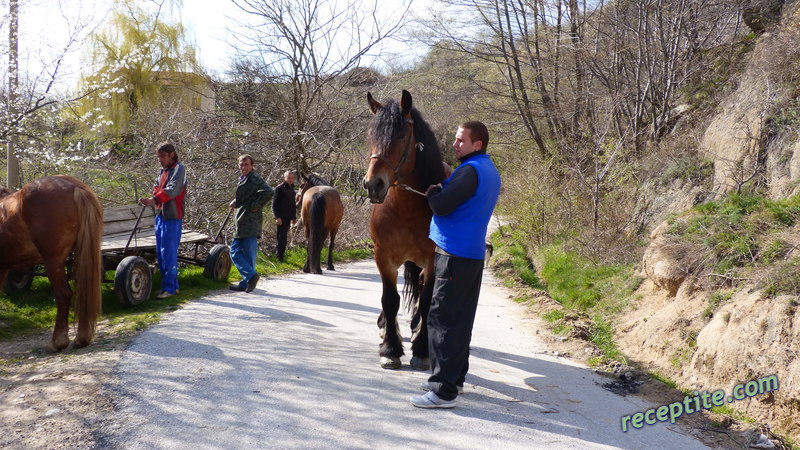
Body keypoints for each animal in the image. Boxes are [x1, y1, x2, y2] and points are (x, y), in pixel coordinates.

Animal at [364, 89, 446, 370]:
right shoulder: (383, 257)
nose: (373, 184)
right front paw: (390, 349)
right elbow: (389, 300)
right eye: (372, 135)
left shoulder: (432, 260)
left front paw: (421, 350)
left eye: (400, 135)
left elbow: (426, 301)